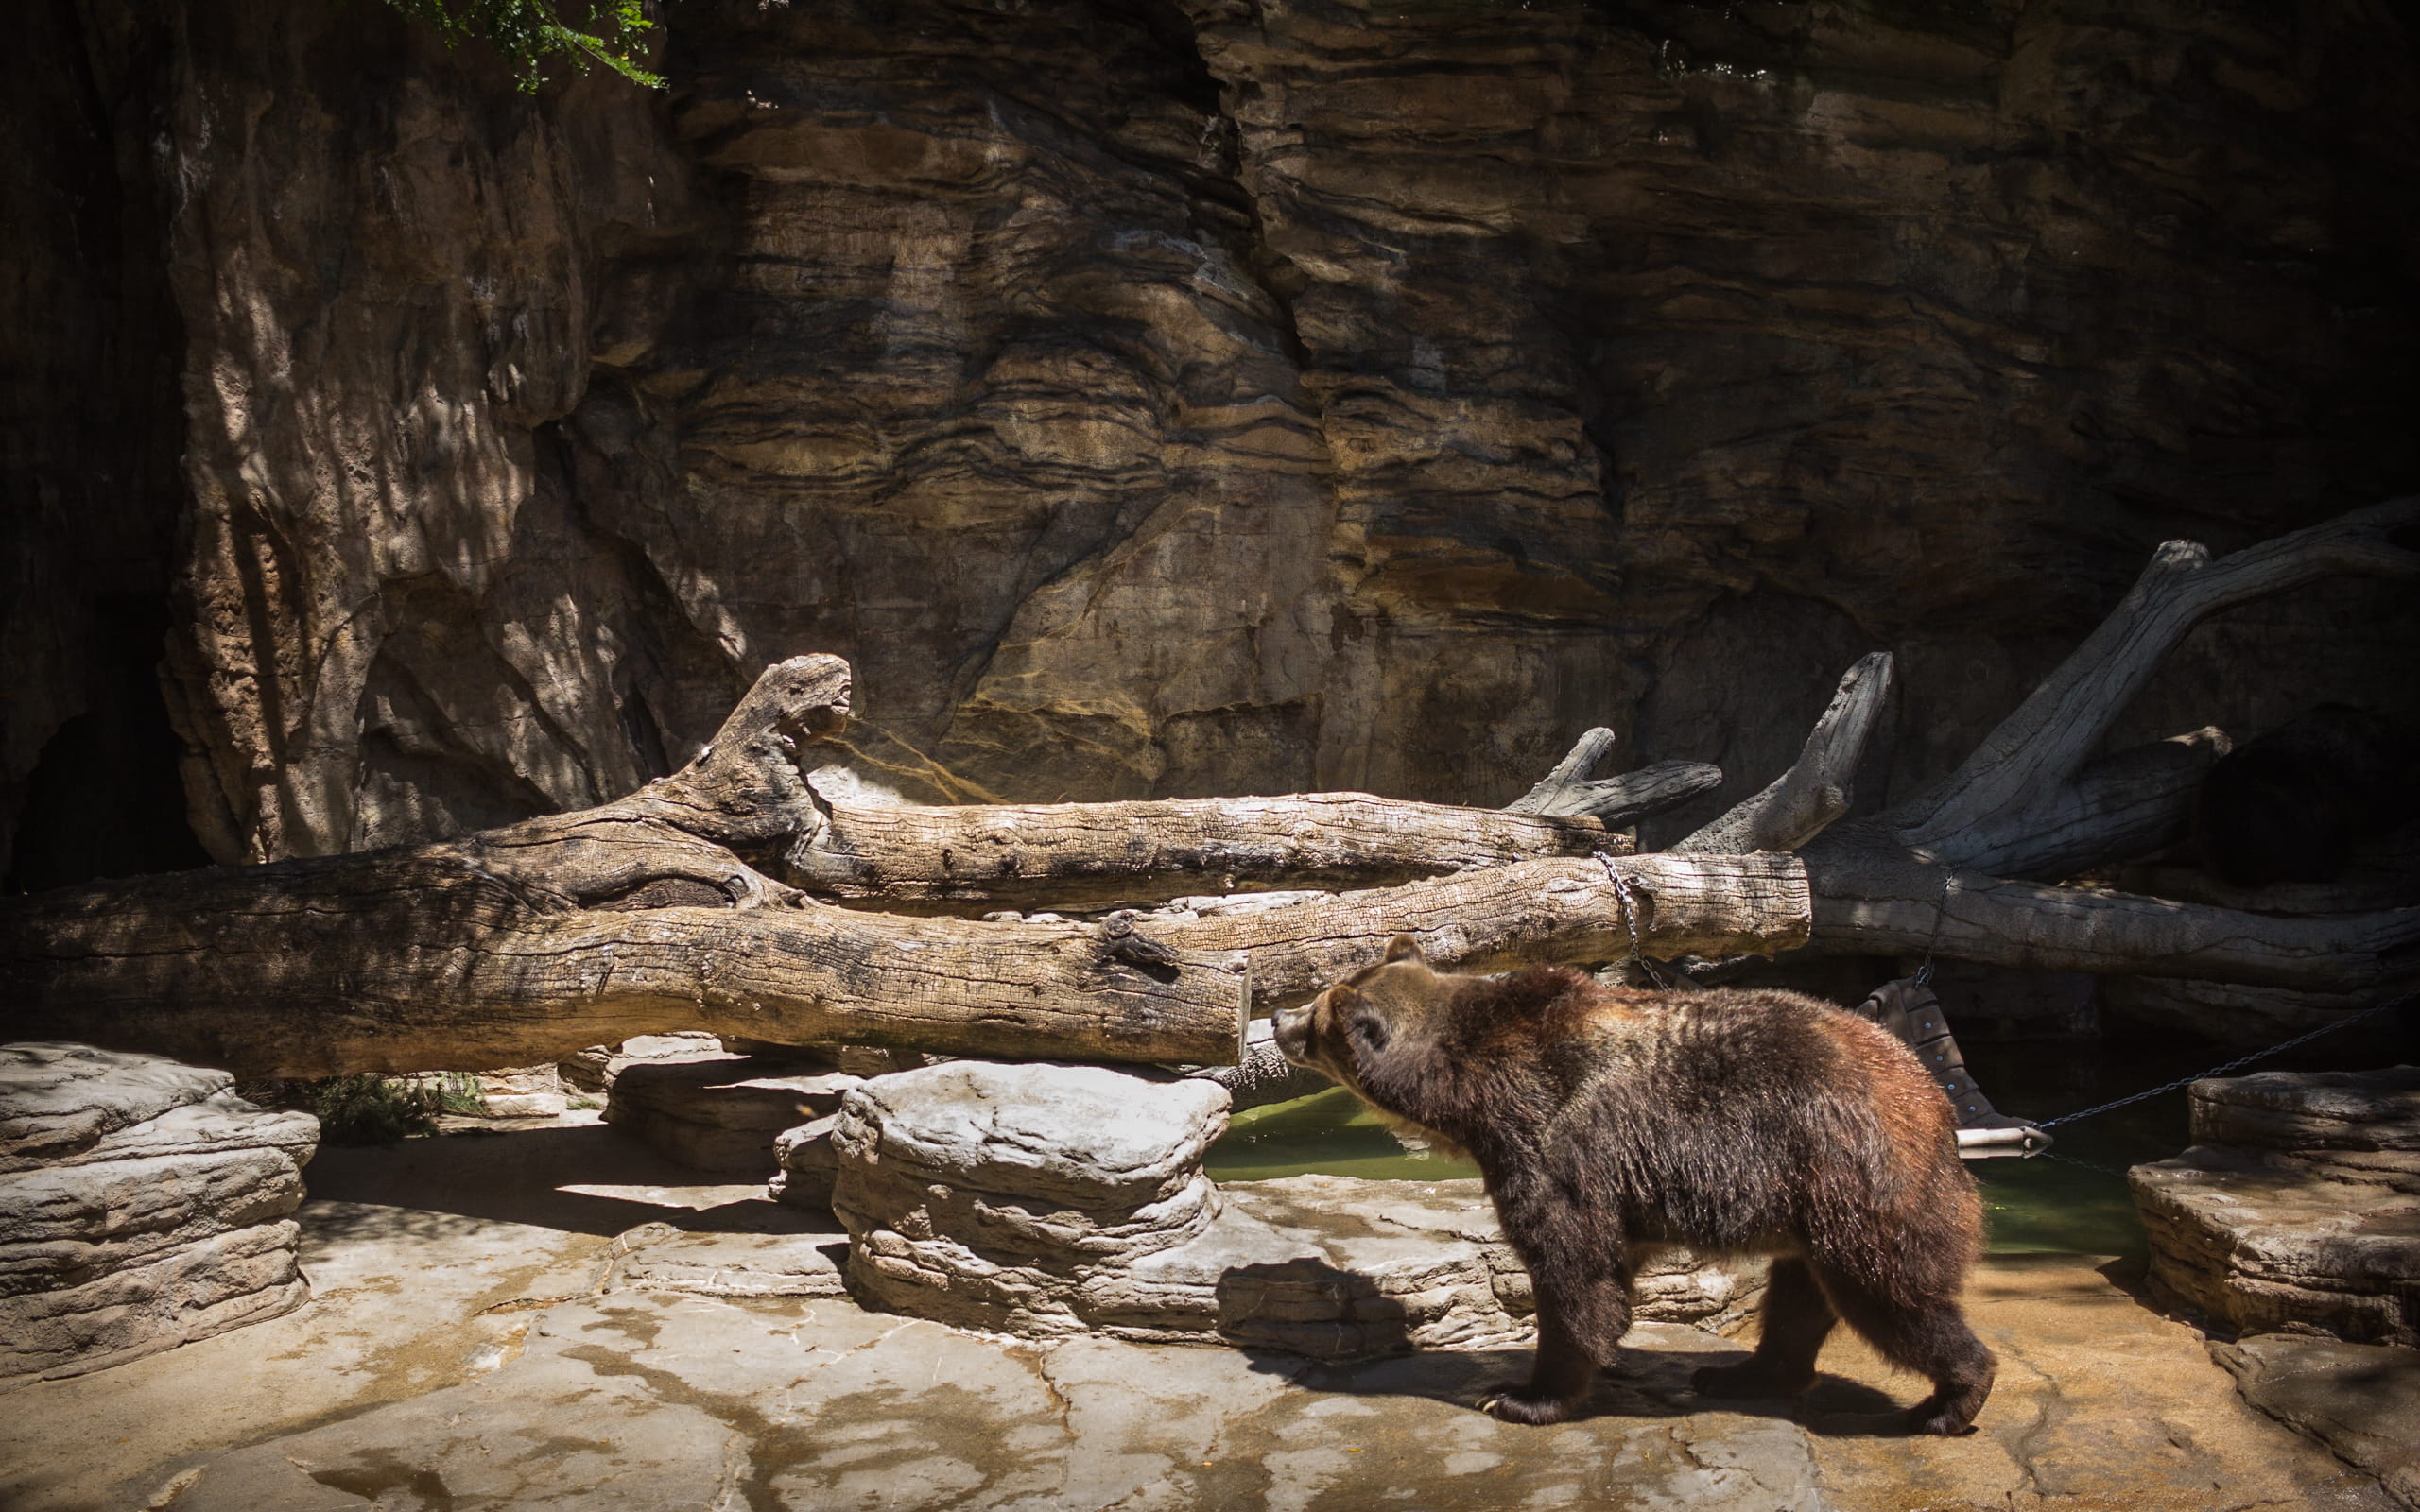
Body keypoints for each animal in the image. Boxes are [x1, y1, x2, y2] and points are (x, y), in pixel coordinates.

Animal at [1272, 936, 1995, 1434]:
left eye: (1319, 1011)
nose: (1279, 1022)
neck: (1470, 1086)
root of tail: (1933, 1097)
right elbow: (1612, 1267)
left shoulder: (1553, 1142)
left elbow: (1572, 1266)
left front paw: (1521, 1395)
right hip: (1813, 1203)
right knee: (1799, 1296)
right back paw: (1740, 1374)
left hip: (1854, 1177)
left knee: (1887, 1294)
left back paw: (1948, 1401)